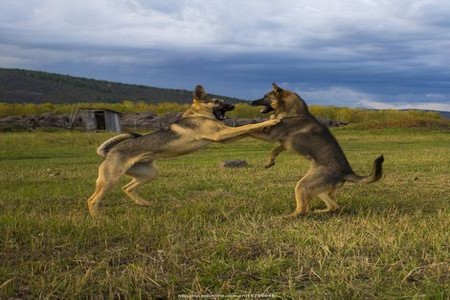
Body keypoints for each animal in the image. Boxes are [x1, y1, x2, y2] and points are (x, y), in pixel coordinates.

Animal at [86, 84, 280, 216]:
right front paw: (271, 121)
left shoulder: (224, 135)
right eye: (217, 101)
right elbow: (247, 126)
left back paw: (145, 204)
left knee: (127, 188)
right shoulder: (221, 134)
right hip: (110, 179)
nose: (233, 106)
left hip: (148, 173)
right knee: (93, 200)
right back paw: (98, 218)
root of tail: (109, 152)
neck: (198, 114)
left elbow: (246, 129)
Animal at [250, 83, 384, 217]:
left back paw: (285, 216)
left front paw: (245, 128)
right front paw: (269, 162)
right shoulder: (284, 144)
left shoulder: (270, 136)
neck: (295, 113)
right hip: (319, 190)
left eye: (265, 96)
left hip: (303, 186)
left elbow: (252, 131)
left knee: (301, 211)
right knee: (334, 206)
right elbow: (274, 150)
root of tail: (346, 172)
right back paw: (318, 211)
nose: (250, 102)